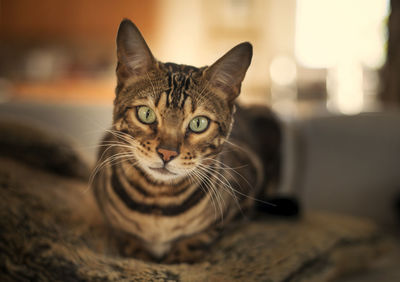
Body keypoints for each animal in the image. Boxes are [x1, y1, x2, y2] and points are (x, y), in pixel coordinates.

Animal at [92, 18, 282, 264]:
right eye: (146, 114)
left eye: (198, 123)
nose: (167, 153)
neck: (157, 203)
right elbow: (127, 238)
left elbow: (199, 237)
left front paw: (180, 257)